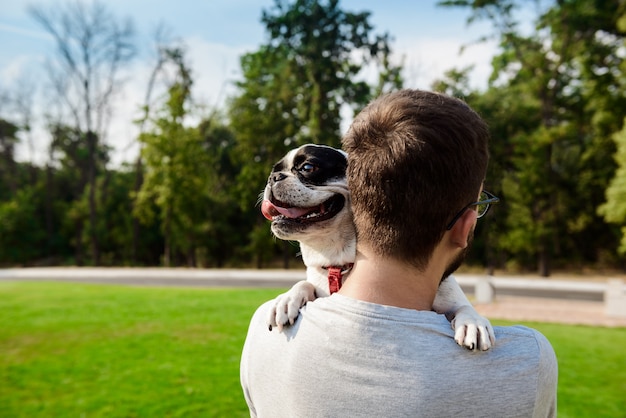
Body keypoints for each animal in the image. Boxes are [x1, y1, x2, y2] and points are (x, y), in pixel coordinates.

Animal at [258, 144, 492, 350]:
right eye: (275, 171)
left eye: (308, 167)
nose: (273, 177)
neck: (340, 263)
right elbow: (304, 283)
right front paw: (287, 299)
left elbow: (464, 306)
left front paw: (473, 323)